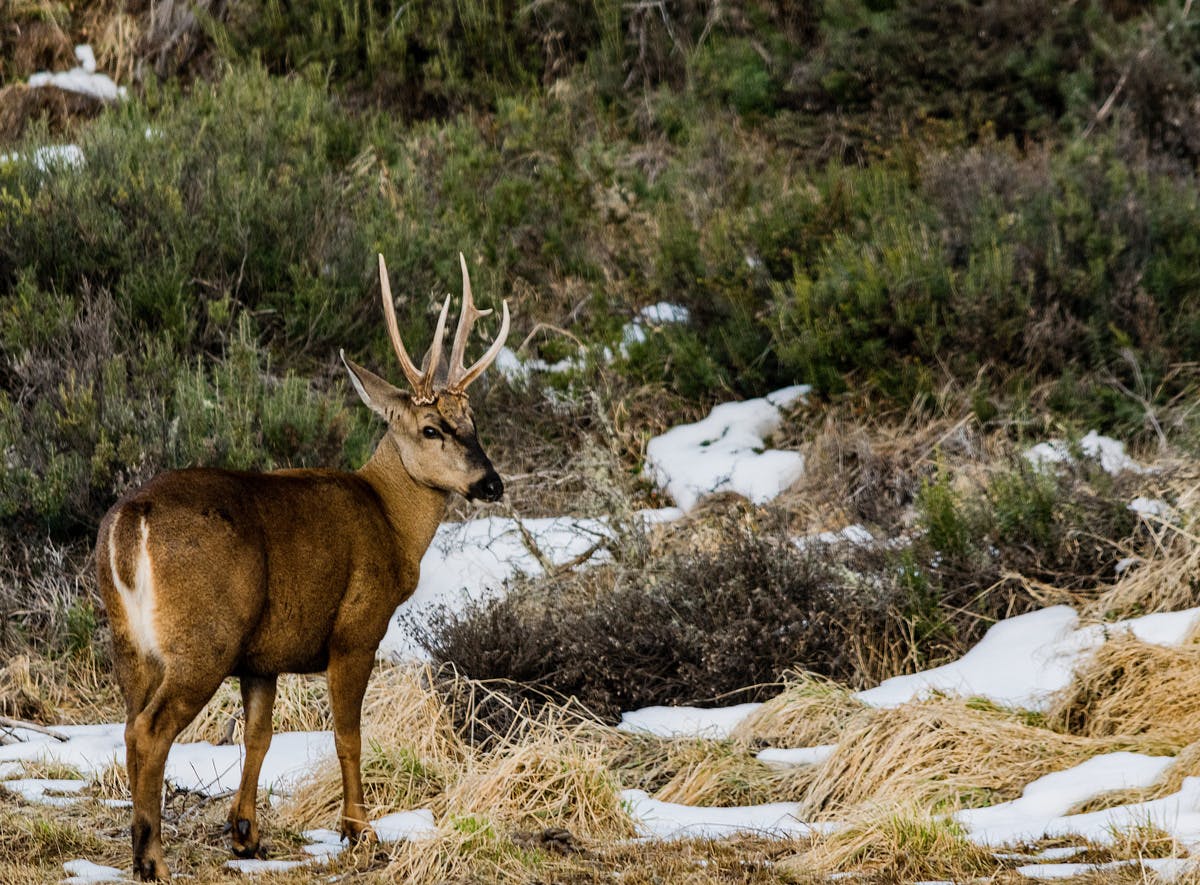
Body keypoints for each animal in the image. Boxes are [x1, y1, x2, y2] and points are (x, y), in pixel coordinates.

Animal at [93, 249, 506, 877]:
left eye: (475, 424)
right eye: (432, 427)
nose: (492, 483)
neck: (390, 520)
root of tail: (129, 521)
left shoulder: (263, 655)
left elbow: (259, 735)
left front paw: (245, 834)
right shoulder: (356, 629)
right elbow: (348, 735)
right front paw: (361, 833)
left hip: (130, 641)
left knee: (127, 725)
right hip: (205, 637)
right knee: (149, 731)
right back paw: (153, 860)